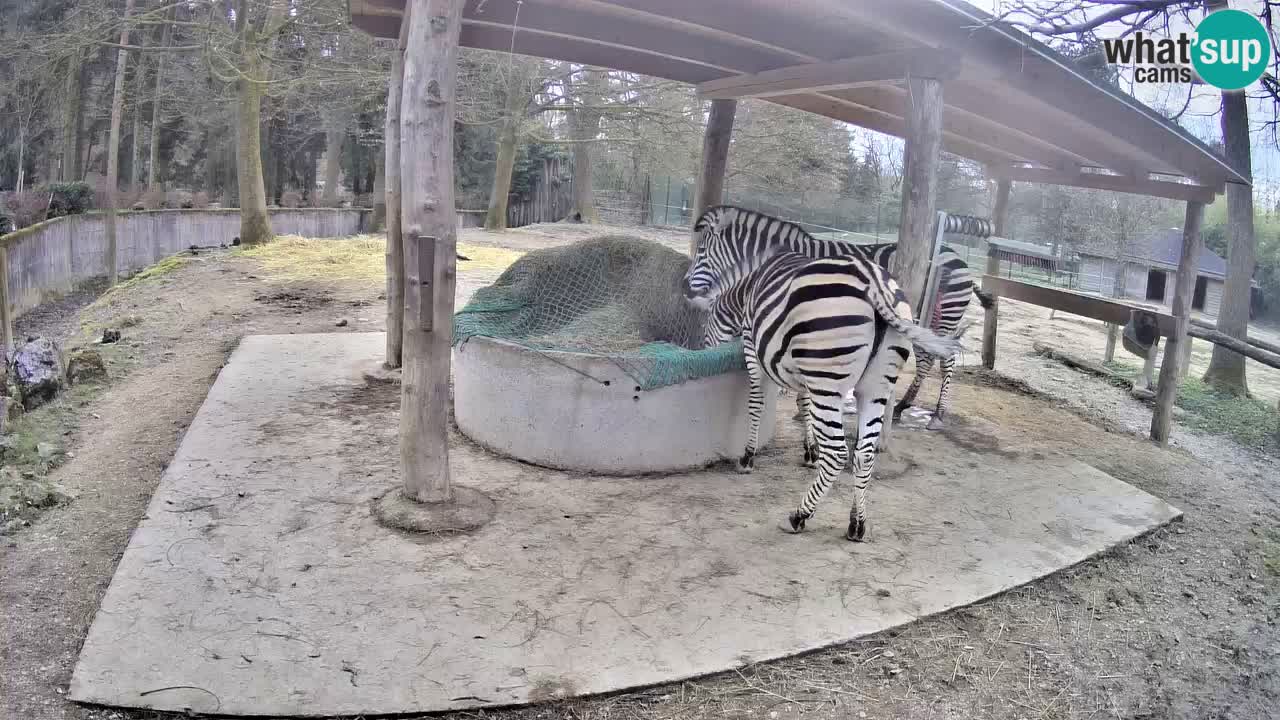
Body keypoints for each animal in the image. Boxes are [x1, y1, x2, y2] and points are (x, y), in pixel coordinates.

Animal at [683, 210, 962, 541]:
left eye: (701, 250)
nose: (685, 287)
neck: (750, 284)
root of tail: (875, 283)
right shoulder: (802, 369)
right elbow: (804, 405)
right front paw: (809, 450)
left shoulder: (755, 349)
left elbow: (757, 403)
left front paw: (748, 457)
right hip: (875, 384)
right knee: (864, 452)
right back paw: (857, 523)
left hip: (833, 378)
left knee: (840, 452)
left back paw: (799, 516)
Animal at [692, 205, 993, 430]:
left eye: (701, 252)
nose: (686, 288)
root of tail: (956, 254)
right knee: (928, 359)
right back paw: (902, 406)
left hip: (947, 315)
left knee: (946, 361)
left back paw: (937, 414)